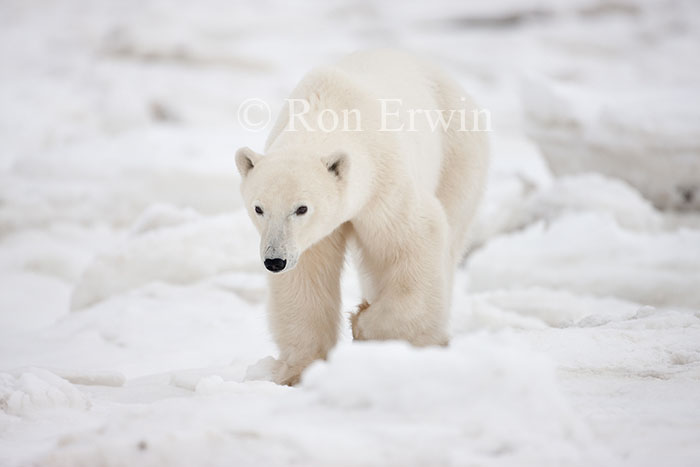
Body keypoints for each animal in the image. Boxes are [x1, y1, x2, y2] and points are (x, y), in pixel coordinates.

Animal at [236, 49, 489, 385]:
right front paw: (298, 369)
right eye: (259, 208)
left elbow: (415, 240)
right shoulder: (308, 240)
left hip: (458, 153)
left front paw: (364, 323)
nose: (274, 261)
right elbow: (306, 279)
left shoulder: (385, 184)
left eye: (301, 208)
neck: (329, 110)